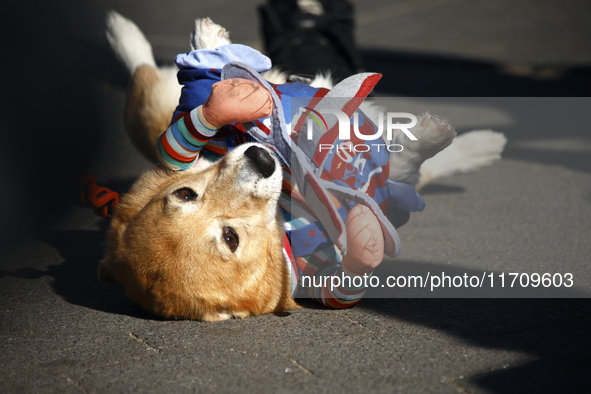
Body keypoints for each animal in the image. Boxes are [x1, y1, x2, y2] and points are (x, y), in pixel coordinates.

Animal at [99, 12, 506, 322]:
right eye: (231, 239)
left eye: (186, 194)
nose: (261, 158)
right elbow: (403, 164)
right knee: (149, 80)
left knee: (169, 81)